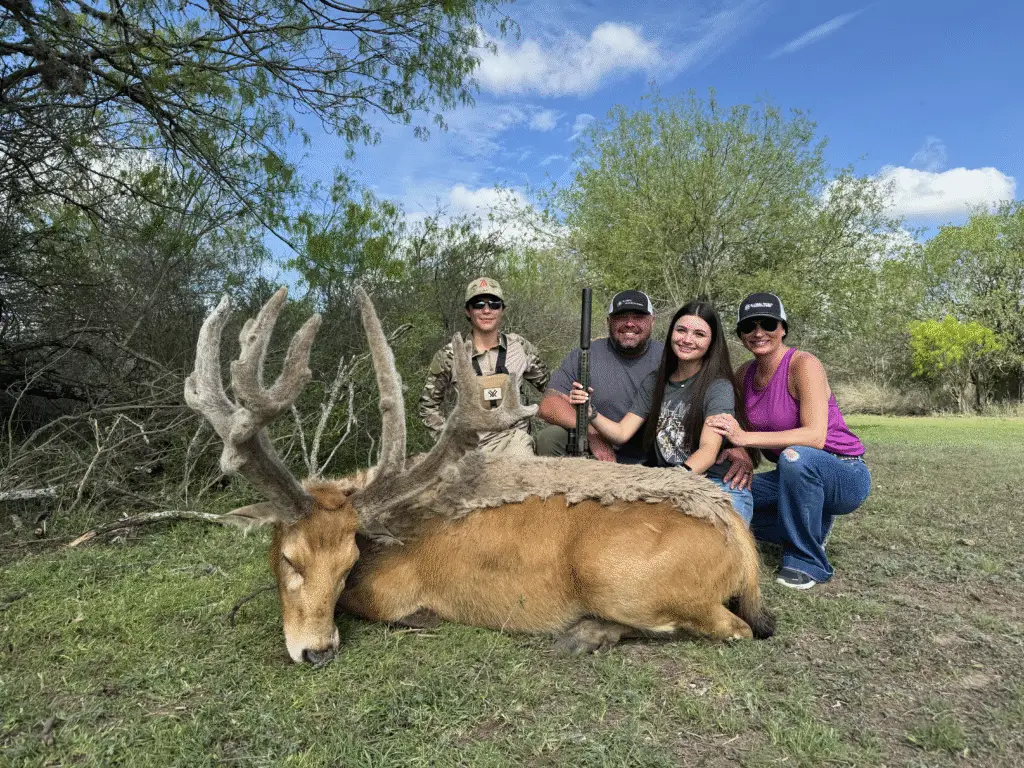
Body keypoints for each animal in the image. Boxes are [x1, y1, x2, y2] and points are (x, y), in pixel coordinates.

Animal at [185, 287, 774, 665]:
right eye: (289, 557)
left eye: (350, 562)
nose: (317, 651)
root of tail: (736, 533)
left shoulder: (391, 591)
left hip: (616, 573)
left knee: (734, 628)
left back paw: (586, 634)